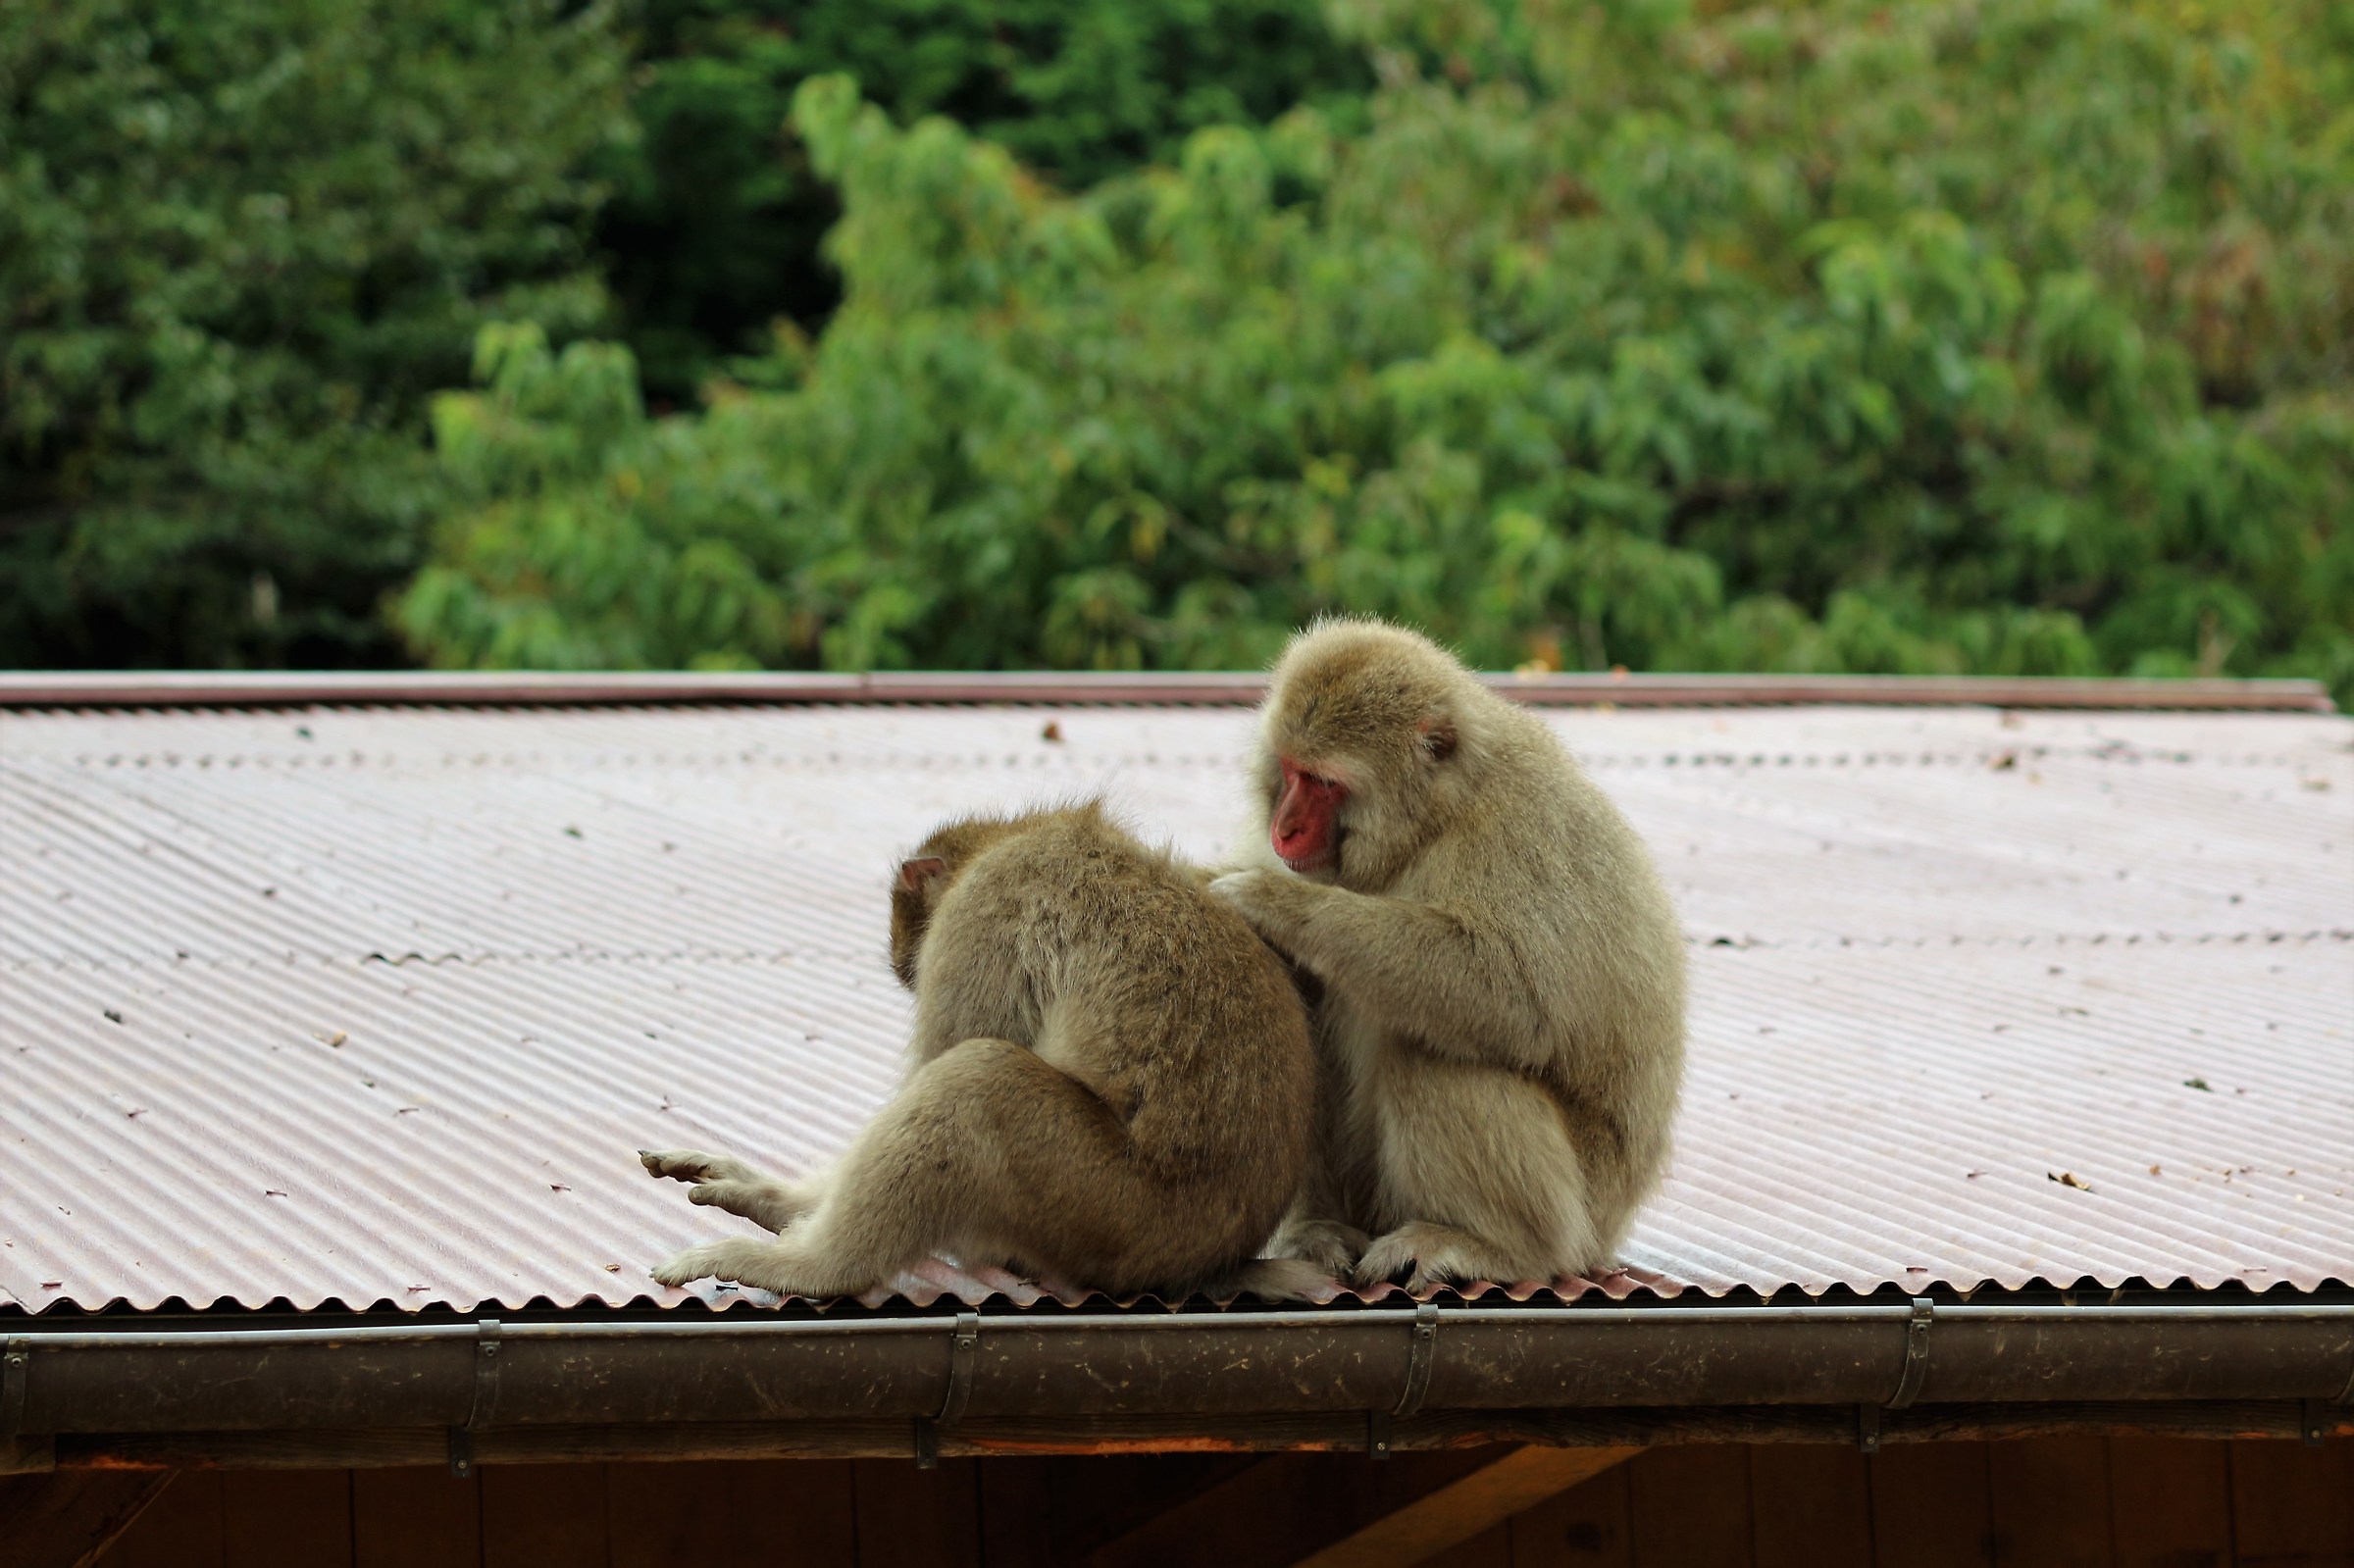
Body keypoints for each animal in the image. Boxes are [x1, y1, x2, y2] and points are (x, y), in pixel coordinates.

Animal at [642, 801, 1321, 1300]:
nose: (903, 961)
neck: (1012, 837)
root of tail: (1204, 1262)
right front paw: (771, 1193)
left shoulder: (985, 906)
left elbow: (948, 1054)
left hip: (1108, 1208)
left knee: (978, 1078)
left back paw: (820, 1268)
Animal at [1208, 618, 1687, 1291]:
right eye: (1290, 770)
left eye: (1324, 784)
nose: (1284, 829)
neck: (1431, 822)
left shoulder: (1514, 832)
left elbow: (1514, 998)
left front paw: (1273, 902)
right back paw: (1319, 1226)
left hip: (1586, 1207)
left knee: (1434, 1045)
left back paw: (1496, 1246)